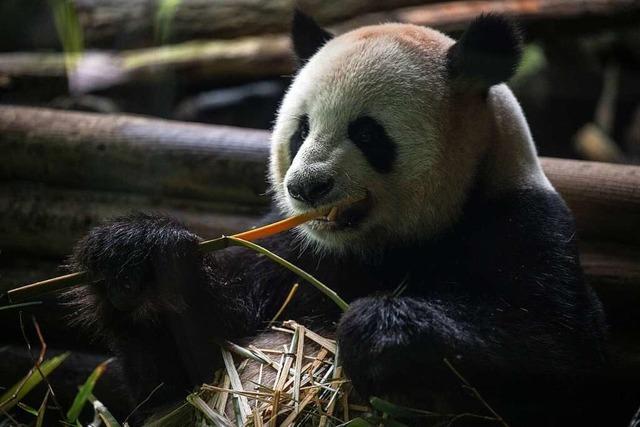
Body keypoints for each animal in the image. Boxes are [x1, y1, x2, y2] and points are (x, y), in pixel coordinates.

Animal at [67, 8, 608, 426]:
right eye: (301, 129)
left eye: (367, 133)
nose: (306, 187)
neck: (377, 246)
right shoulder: (290, 253)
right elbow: (181, 373)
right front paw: (134, 261)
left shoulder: (522, 226)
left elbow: (558, 357)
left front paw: (382, 333)